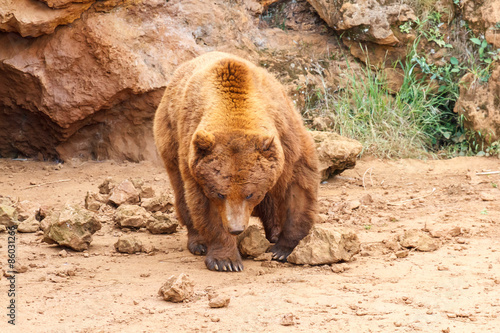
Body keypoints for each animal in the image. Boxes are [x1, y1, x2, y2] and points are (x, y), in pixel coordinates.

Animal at [152, 51, 318, 270]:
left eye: (250, 194)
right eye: (220, 194)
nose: (236, 229)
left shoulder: (286, 136)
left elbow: (298, 186)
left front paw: (283, 249)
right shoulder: (196, 158)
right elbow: (205, 206)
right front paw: (226, 260)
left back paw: (273, 232)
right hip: (170, 136)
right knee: (181, 192)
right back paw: (198, 243)